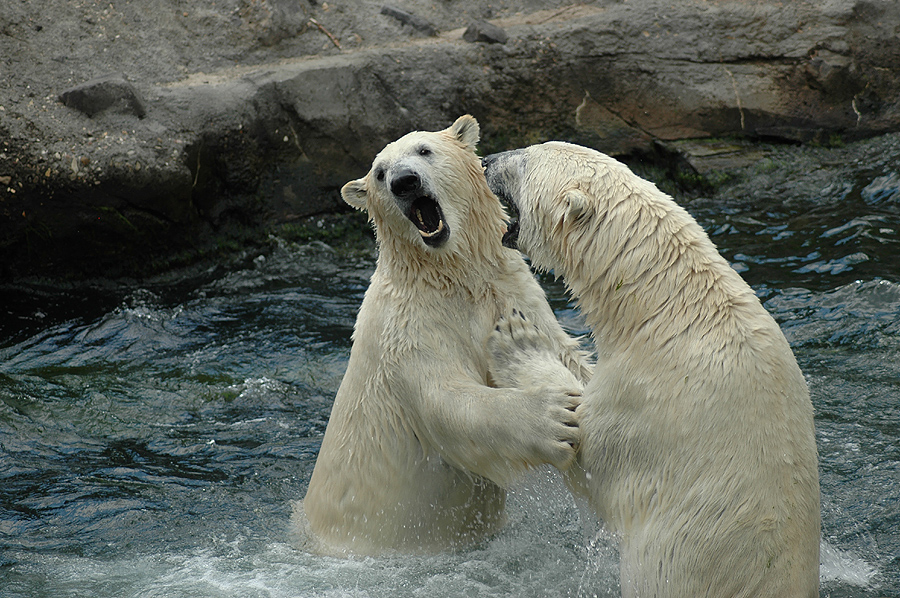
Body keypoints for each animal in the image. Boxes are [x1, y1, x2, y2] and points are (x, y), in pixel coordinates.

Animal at [292, 119, 596, 560]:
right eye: (379, 173)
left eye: (424, 150)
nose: (404, 181)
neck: (450, 276)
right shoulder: (408, 329)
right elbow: (446, 399)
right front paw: (553, 416)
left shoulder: (514, 292)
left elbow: (568, 356)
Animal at [486, 142, 824, 598]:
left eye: (525, 159)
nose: (487, 161)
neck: (666, 308)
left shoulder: (641, 402)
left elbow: (584, 452)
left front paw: (518, 338)